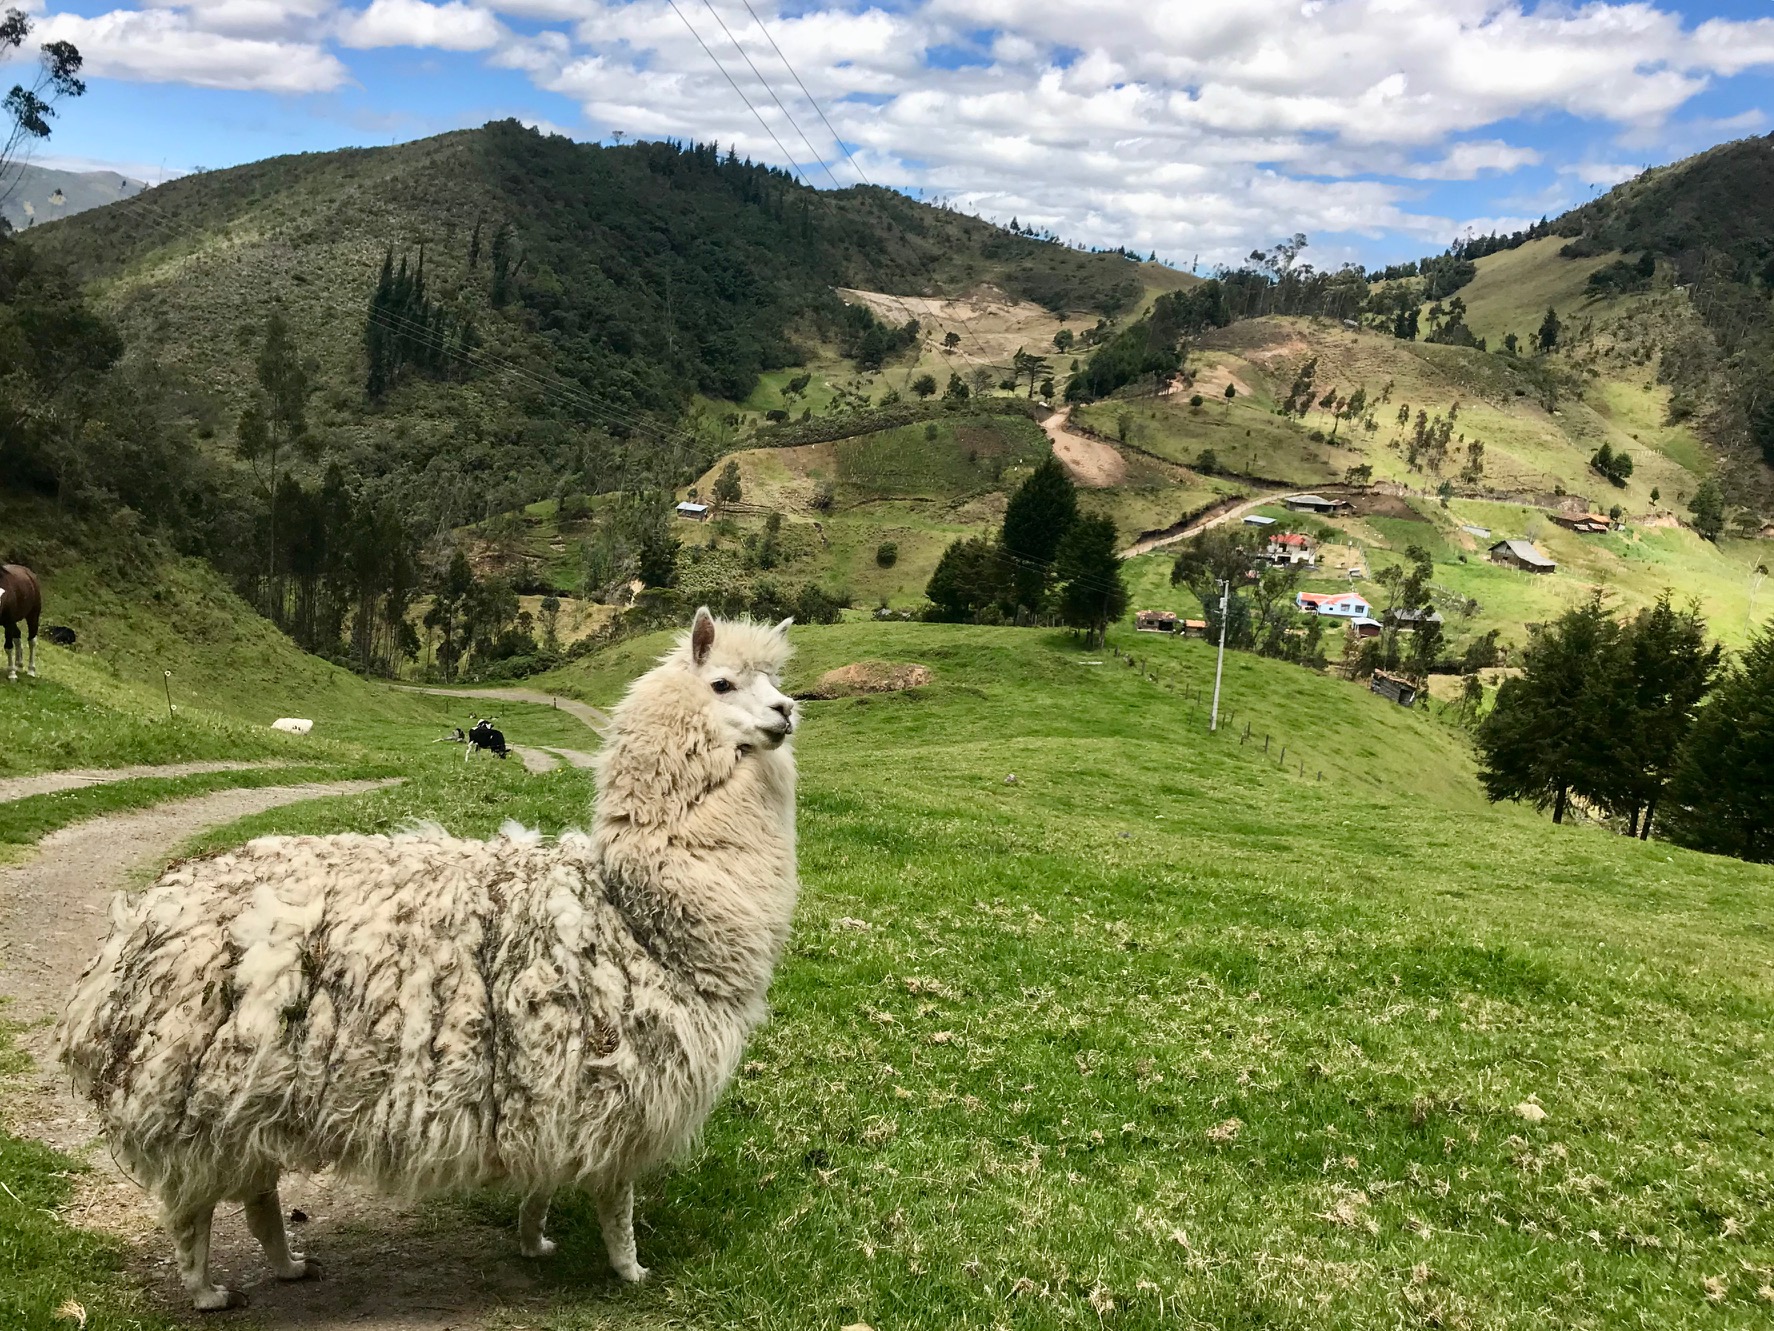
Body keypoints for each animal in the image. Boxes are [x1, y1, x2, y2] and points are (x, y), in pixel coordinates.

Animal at [55, 614, 801, 1313]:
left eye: (774, 680)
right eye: (722, 683)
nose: (788, 711)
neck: (637, 915)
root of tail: (133, 932)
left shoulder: (554, 1096)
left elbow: (544, 1180)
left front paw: (534, 1240)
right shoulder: (618, 1090)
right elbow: (616, 1201)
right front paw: (632, 1270)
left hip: (244, 1094)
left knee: (257, 1191)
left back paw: (289, 1265)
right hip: (194, 1093)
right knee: (193, 1209)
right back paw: (207, 1289)